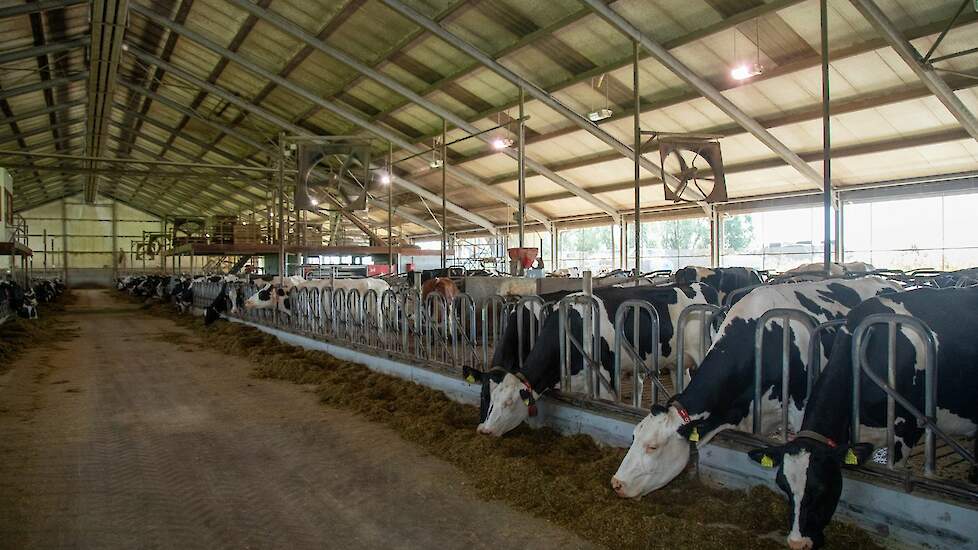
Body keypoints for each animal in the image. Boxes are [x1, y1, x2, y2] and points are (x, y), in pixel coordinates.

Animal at [466, 284, 716, 440]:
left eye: (508, 403)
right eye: (485, 395)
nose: (483, 430)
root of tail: (700, 285)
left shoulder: (605, 380)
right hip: (677, 364)